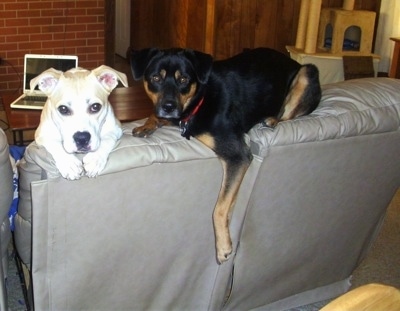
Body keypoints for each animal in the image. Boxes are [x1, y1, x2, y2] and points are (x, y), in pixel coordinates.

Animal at [131, 47, 322, 264]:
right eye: (156, 78)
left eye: (184, 79)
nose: (169, 107)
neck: (201, 97)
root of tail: (294, 62)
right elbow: (155, 115)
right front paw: (145, 125)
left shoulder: (237, 155)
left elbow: (219, 209)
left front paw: (223, 246)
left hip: (307, 73)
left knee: (288, 114)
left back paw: (272, 119)